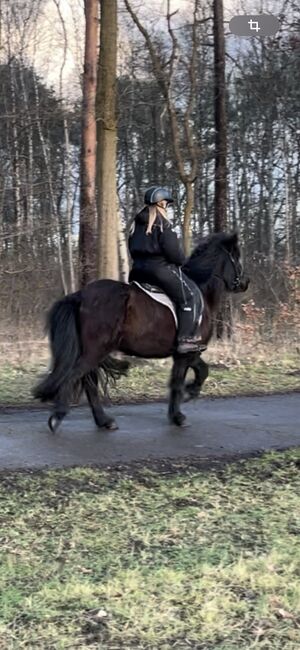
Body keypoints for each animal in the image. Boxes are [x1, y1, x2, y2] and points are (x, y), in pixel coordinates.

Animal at [33, 233, 248, 430]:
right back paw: (58, 417)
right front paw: (179, 413)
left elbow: (201, 370)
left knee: (88, 381)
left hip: (93, 351)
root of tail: (80, 295)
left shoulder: (188, 351)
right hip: (95, 350)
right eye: (236, 256)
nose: (246, 282)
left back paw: (104, 421)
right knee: (75, 376)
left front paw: (190, 393)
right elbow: (178, 382)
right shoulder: (185, 353)